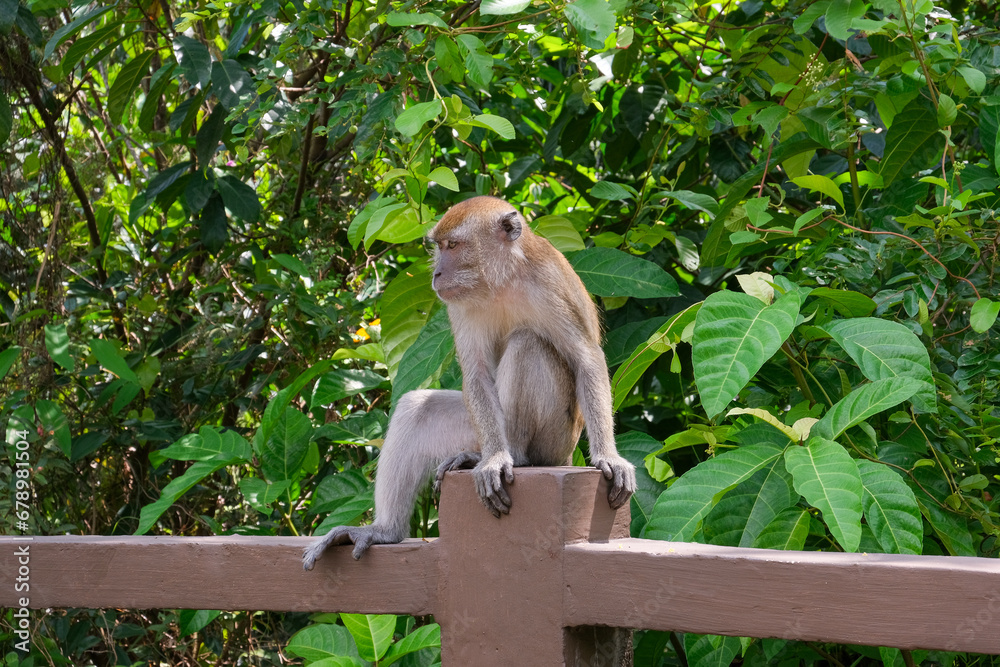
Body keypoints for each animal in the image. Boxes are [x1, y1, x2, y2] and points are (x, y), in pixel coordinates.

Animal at [302, 196, 636, 569]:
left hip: (557, 439)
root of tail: (564, 456)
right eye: (439, 247)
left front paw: (609, 456)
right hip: (477, 429)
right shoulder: (459, 303)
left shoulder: (549, 285)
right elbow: (475, 373)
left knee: (527, 343)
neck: (502, 280)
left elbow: (586, 358)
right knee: (416, 409)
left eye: (453, 246)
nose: (437, 273)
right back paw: (390, 526)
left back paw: (517, 455)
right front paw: (492, 460)